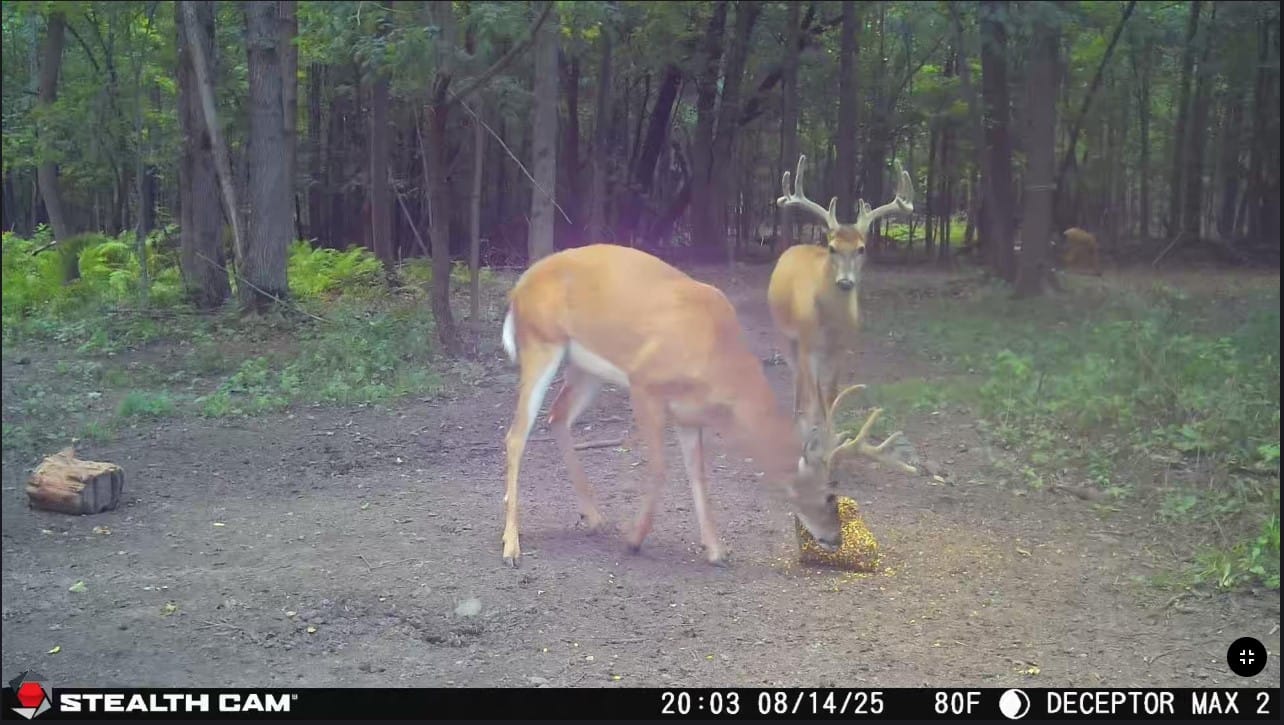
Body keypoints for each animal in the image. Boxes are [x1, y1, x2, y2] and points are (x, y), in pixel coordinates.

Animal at [497, 243, 903, 568]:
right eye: (831, 492)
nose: (835, 538)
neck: (718, 359)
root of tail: (518, 286)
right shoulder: (644, 384)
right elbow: (660, 468)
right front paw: (634, 539)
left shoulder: (690, 416)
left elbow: (698, 475)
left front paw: (717, 551)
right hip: (540, 342)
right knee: (516, 435)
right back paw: (512, 546)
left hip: (586, 368)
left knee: (558, 416)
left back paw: (594, 518)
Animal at [769, 154, 917, 438]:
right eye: (832, 247)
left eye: (861, 248)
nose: (846, 282)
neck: (830, 324)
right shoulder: (808, 345)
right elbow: (812, 398)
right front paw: (809, 435)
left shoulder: (842, 348)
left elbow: (831, 395)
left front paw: (831, 435)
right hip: (784, 333)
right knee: (797, 379)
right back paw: (794, 418)